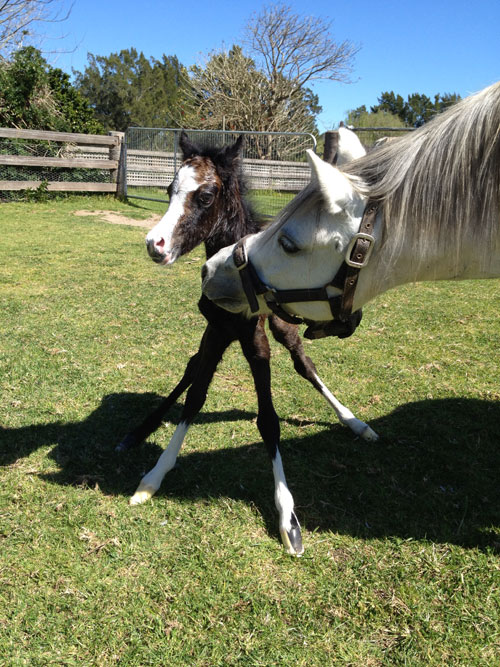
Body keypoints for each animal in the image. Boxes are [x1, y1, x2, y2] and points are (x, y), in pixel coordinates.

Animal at [121, 130, 376, 556]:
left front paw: (288, 517)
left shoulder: (256, 339)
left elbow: (269, 420)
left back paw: (354, 422)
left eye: (206, 195)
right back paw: (141, 428)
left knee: (304, 364)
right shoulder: (217, 331)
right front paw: (153, 477)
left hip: (282, 326)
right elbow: (195, 395)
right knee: (191, 367)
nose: (154, 245)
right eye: (169, 189)